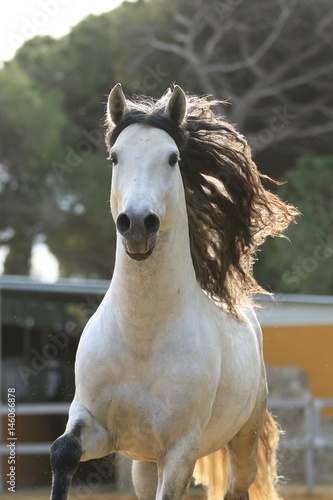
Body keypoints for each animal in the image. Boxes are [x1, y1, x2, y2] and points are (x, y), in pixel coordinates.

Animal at [50, 84, 296, 498]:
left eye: (172, 158)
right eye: (115, 157)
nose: (137, 224)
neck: (143, 339)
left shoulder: (180, 449)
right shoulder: (95, 422)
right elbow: (62, 452)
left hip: (242, 440)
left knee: (237, 486)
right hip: (144, 462)